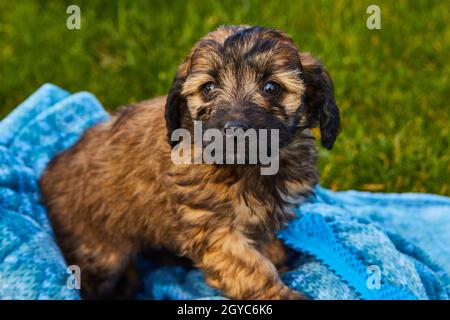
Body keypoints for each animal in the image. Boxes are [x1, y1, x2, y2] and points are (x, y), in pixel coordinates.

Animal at [40, 25, 340, 300]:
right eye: (208, 88)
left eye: (271, 87)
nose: (234, 129)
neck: (250, 166)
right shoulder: (215, 232)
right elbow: (251, 268)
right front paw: (279, 293)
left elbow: (266, 248)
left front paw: (280, 259)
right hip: (101, 251)